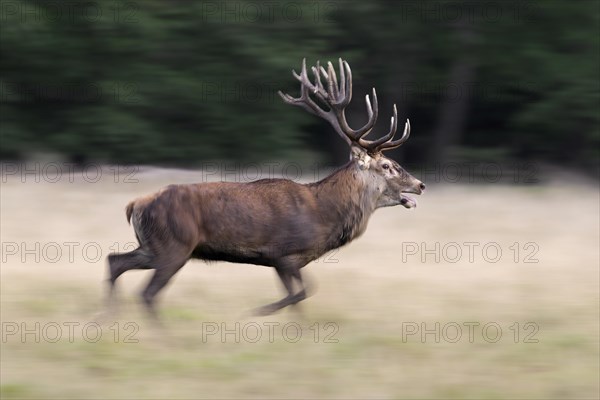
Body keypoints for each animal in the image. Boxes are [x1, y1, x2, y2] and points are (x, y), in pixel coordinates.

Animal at [109, 57, 426, 318]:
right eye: (386, 165)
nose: (420, 184)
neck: (324, 216)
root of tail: (135, 205)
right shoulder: (282, 254)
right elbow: (301, 294)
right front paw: (257, 312)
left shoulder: (289, 261)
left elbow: (300, 297)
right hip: (175, 246)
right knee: (147, 293)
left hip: (153, 246)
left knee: (115, 262)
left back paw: (109, 317)